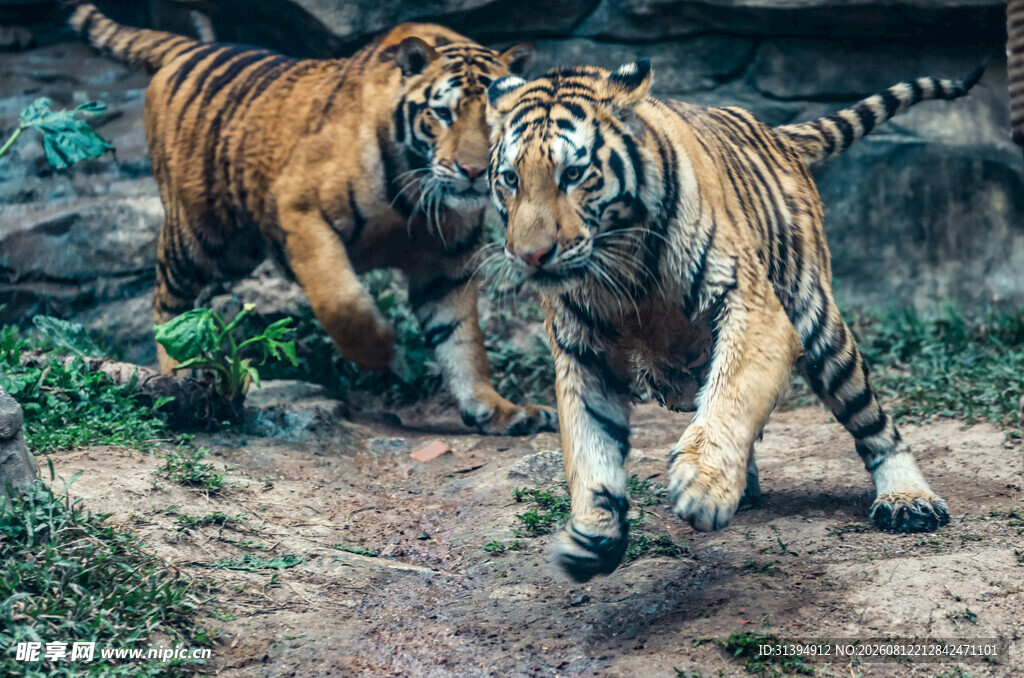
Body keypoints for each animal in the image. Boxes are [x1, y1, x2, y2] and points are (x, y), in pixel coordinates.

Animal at [67, 3, 556, 435]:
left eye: (496, 121)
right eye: (442, 113)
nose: (473, 171)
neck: (416, 197)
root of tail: (189, 48)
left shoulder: (447, 263)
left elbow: (462, 341)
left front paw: (497, 410)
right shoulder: (302, 214)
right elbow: (344, 304)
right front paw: (386, 352)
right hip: (206, 239)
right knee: (167, 301)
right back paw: (179, 374)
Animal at [485, 58, 983, 581]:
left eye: (574, 174)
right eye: (511, 179)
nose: (531, 256)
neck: (620, 262)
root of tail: (777, 132)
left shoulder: (753, 305)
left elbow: (731, 396)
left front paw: (703, 486)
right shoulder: (583, 353)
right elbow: (590, 444)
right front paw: (594, 534)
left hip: (819, 325)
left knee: (875, 424)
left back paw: (908, 499)